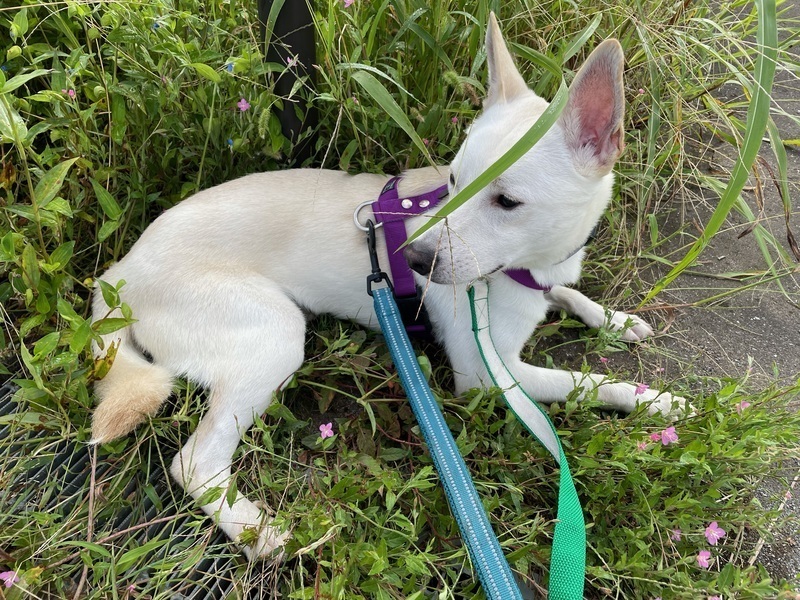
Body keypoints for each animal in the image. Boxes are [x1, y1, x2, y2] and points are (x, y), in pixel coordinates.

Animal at [90, 14, 686, 558]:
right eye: (453, 180)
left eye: (508, 202)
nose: (413, 258)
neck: (521, 269)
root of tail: (119, 273)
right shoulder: (491, 377)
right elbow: (586, 381)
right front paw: (657, 401)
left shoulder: (542, 284)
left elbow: (571, 294)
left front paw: (617, 321)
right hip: (274, 333)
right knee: (194, 462)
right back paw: (263, 534)